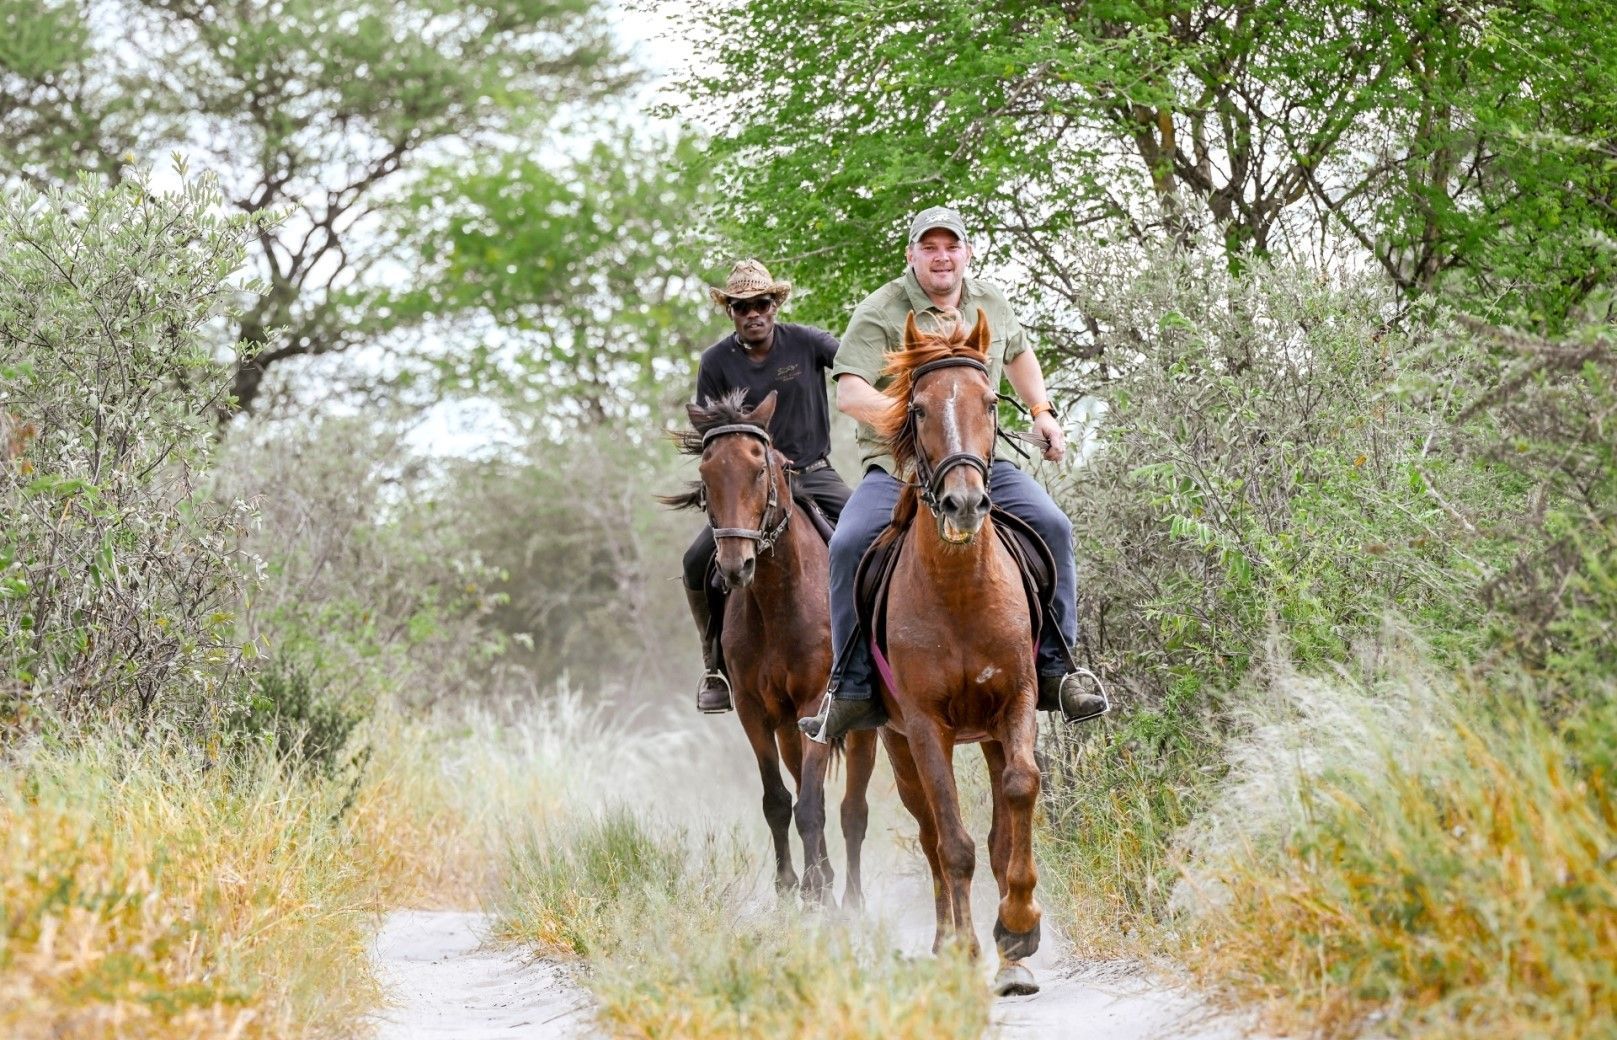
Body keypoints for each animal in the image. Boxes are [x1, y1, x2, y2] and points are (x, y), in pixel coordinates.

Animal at [664, 389, 878, 904]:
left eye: (762, 468)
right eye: (706, 474)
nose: (734, 566)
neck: (782, 600)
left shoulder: (818, 702)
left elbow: (814, 807)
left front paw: (819, 892)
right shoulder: (754, 710)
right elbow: (780, 802)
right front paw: (789, 888)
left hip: (861, 727)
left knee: (852, 810)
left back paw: (852, 900)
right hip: (787, 726)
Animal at [869, 312, 1047, 995]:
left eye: (990, 401)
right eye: (918, 409)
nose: (965, 503)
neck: (960, 590)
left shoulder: (1016, 701)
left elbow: (1020, 794)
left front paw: (1018, 930)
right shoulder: (925, 727)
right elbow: (953, 844)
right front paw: (967, 950)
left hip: (990, 735)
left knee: (1000, 825)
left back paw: (1012, 956)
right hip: (895, 745)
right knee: (928, 837)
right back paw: (948, 943)